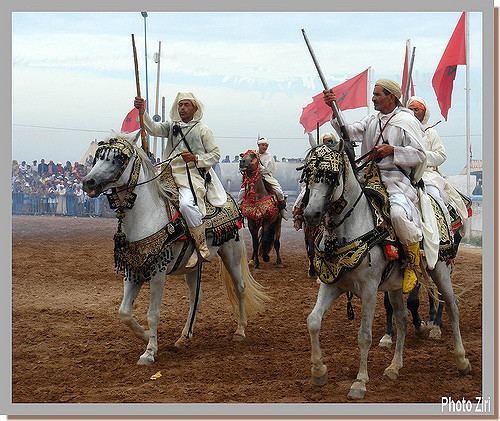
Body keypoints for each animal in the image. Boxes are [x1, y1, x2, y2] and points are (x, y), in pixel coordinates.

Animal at [82, 131, 270, 364]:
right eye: (98, 156)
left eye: (118, 159)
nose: (88, 182)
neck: (145, 216)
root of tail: (229, 198)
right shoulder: (133, 271)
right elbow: (124, 312)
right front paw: (146, 336)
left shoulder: (158, 273)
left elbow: (153, 313)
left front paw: (149, 352)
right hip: (192, 267)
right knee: (196, 297)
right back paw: (184, 336)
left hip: (231, 253)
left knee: (240, 287)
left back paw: (240, 331)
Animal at [300, 139, 472, 398]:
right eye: (309, 173)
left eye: (331, 175)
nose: (311, 214)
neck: (349, 229)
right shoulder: (332, 284)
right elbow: (313, 321)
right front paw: (319, 371)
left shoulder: (369, 289)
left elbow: (364, 335)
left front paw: (360, 382)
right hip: (394, 286)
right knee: (401, 319)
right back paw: (394, 367)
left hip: (440, 269)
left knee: (452, 306)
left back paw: (460, 359)